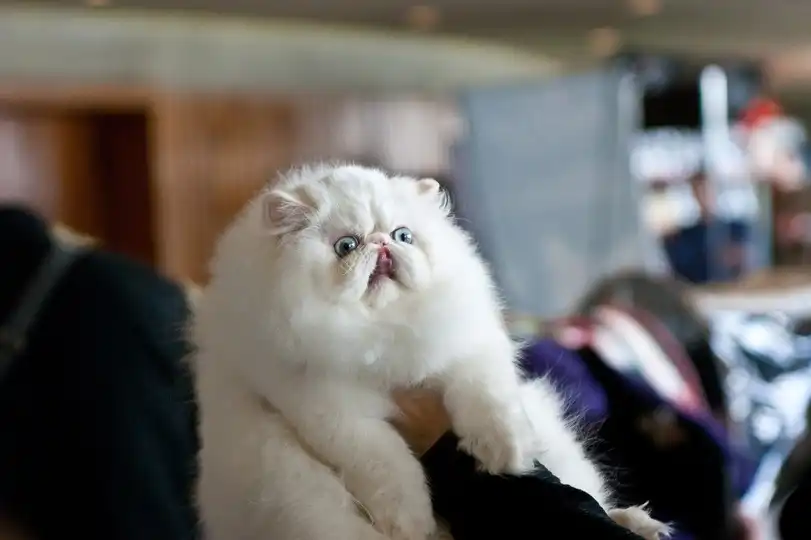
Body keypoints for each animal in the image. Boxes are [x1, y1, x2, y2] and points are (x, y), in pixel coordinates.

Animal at [192, 163, 669, 540]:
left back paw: (640, 523)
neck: (381, 333)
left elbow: (487, 406)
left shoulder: (469, 353)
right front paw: (411, 525)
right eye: (347, 246)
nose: (382, 244)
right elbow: (389, 467)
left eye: (403, 236)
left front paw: (505, 456)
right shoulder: (331, 413)